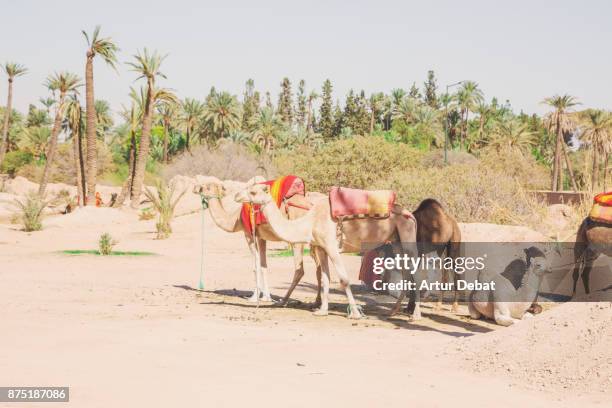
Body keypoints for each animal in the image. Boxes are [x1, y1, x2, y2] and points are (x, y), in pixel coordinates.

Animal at [235, 183, 420, 320]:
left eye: (253, 191)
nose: (237, 196)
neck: (309, 221)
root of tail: (409, 213)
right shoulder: (321, 248)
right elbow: (325, 278)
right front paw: (322, 310)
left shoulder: (332, 246)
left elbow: (343, 279)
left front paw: (355, 313)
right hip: (395, 240)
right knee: (406, 272)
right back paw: (393, 311)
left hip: (407, 233)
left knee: (416, 272)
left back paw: (415, 315)